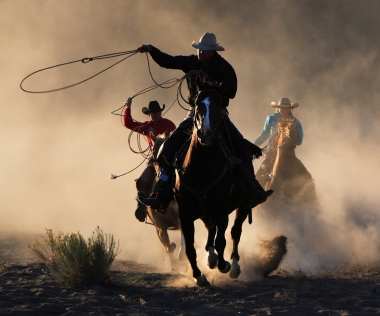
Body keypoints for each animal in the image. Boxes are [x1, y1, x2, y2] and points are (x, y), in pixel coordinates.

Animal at [175, 89, 252, 286]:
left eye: (218, 107)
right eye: (198, 105)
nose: (206, 133)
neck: (202, 169)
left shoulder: (221, 209)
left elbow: (222, 240)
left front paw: (224, 265)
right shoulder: (185, 213)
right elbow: (190, 248)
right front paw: (198, 276)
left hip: (243, 205)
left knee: (235, 232)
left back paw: (234, 265)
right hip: (204, 211)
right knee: (211, 229)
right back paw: (211, 258)